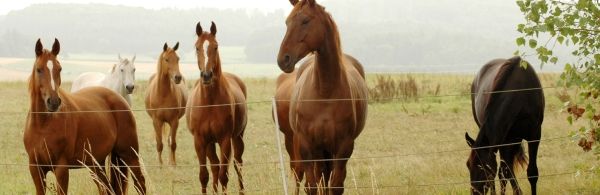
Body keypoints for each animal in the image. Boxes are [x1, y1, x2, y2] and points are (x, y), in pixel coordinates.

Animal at [23, 38, 146, 195]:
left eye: (59, 69)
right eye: (38, 69)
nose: (54, 102)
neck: (43, 125)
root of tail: (119, 98)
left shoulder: (61, 169)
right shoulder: (35, 169)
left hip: (129, 154)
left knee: (140, 183)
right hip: (97, 164)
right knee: (107, 188)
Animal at [185, 21, 246, 195]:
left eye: (216, 46)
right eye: (197, 47)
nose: (206, 76)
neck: (210, 103)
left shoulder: (224, 140)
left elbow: (223, 176)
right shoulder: (200, 140)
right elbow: (204, 175)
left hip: (238, 137)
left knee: (237, 164)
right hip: (210, 144)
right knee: (214, 166)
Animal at [276, 0, 368, 194]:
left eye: (305, 21)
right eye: (287, 22)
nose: (283, 60)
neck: (325, 92)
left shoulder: (343, 147)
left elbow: (336, 186)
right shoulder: (307, 145)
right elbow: (312, 186)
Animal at [466, 56, 548, 195]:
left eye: (483, 168)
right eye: (468, 165)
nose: (475, 192)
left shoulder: (535, 135)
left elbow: (532, 173)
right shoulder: (506, 139)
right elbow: (506, 172)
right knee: (503, 172)